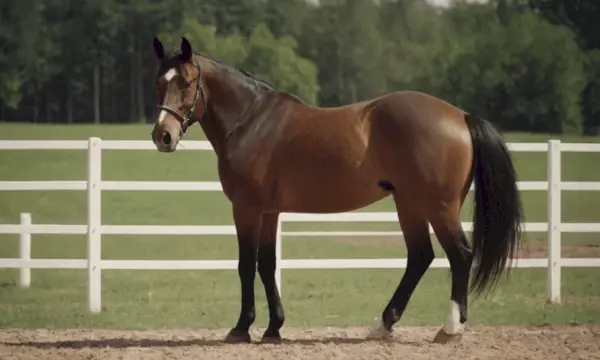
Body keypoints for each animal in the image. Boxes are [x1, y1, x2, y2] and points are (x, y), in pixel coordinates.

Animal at [151, 35, 524, 344]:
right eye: (159, 82)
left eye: (187, 82)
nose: (162, 136)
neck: (251, 120)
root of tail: (461, 116)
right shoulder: (269, 211)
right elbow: (267, 265)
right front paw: (273, 329)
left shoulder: (246, 208)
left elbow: (246, 265)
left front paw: (241, 328)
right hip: (410, 203)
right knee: (420, 257)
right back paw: (383, 326)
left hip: (438, 206)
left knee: (459, 255)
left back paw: (449, 329)